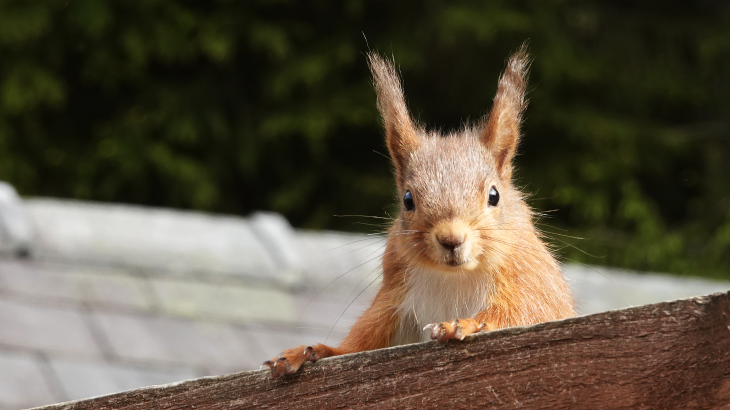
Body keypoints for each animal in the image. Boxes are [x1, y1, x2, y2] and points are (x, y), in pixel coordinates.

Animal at [262, 45, 576, 378]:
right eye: (408, 199)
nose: (451, 239)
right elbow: (363, 340)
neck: (454, 277)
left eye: (494, 196)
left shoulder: (531, 282)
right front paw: (314, 351)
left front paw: (464, 324)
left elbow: (522, 313)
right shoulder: (394, 295)